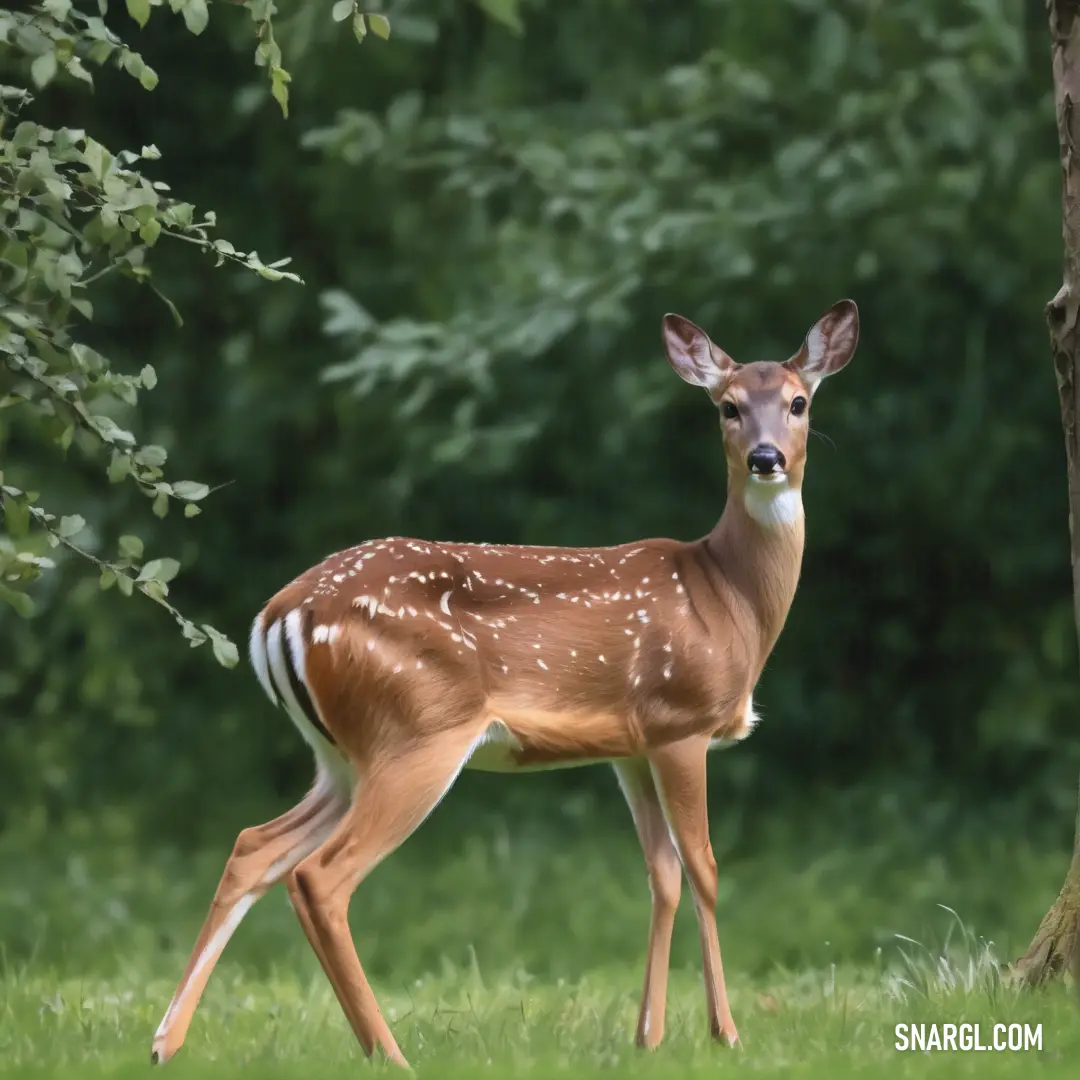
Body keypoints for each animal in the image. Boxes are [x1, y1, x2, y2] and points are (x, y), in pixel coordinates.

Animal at [152, 298, 859, 1071]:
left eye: (797, 402)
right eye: (727, 407)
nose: (766, 458)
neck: (729, 598)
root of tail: (278, 614)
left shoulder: (631, 746)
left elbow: (662, 875)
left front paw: (647, 1036)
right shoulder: (682, 720)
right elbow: (704, 869)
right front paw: (724, 1033)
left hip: (340, 755)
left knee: (254, 847)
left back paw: (166, 1043)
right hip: (418, 732)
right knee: (319, 876)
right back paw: (390, 1053)